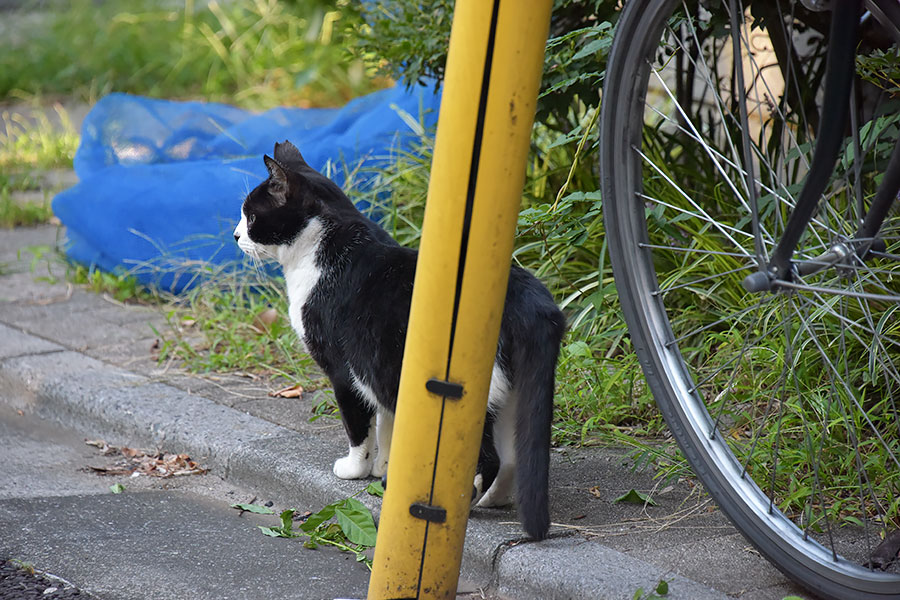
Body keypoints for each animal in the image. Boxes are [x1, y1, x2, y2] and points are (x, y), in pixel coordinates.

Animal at [236, 141, 568, 540]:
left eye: (251, 216)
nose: (235, 236)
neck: (321, 251)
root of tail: (530, 299)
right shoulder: (380, 370)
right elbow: (389, 423)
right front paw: (385, 467)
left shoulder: (345, 371)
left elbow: (359, 427)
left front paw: (356, 468)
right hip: (512, 395)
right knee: (514, 455)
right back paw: (493, 500)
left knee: (490, 457)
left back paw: (465, 503)